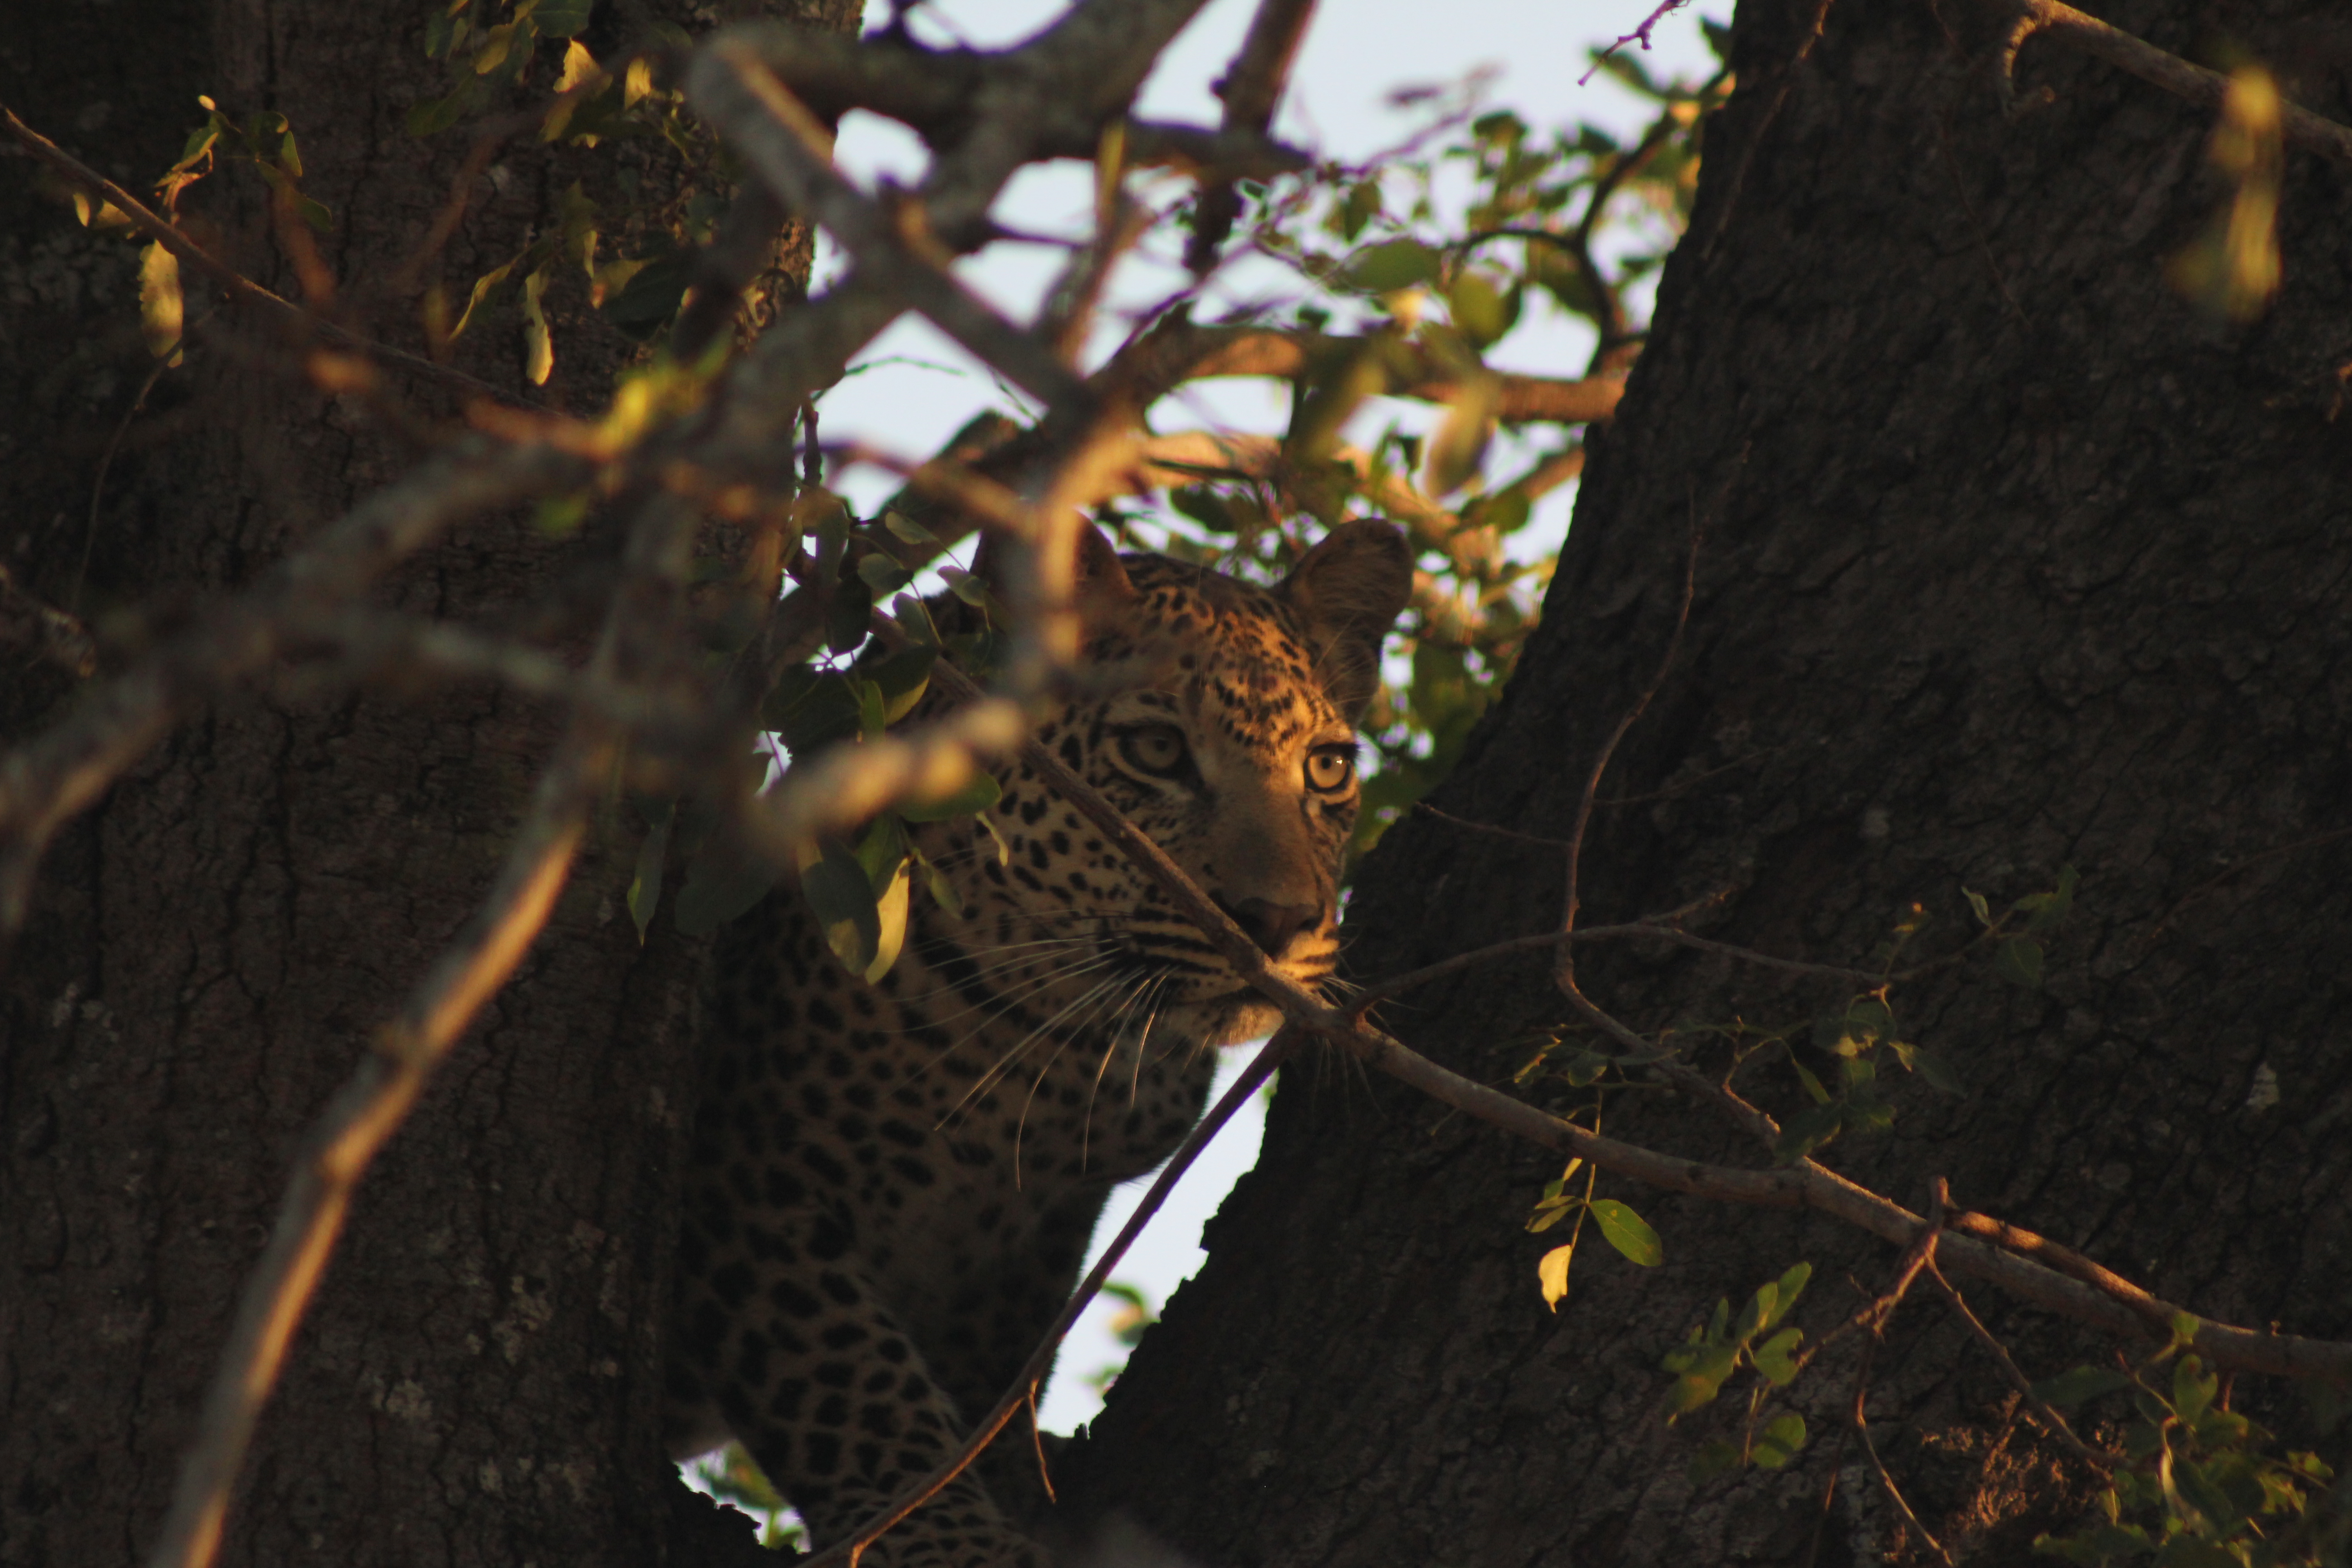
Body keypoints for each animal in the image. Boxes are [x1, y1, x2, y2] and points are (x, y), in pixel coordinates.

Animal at [666, 518, 1414, 1568]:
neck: (1047, 1038)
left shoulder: (1034, 1226)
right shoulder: (746, 1168)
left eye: (1328, 770)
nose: (1279, 922)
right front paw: (947, 1536)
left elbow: (994, 1374)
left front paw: (1013, 1484)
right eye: (1155, 751)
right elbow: (845, 1371)